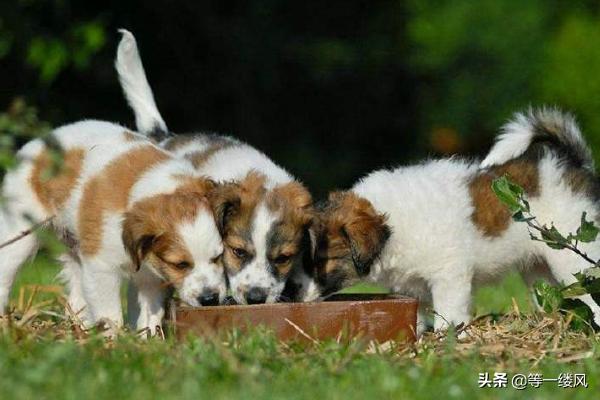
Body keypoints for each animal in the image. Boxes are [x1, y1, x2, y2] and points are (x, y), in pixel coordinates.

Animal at [0, 120, 225, 332]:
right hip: (19, 236)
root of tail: (38, 142)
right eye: (180, 265)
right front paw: (114, 340)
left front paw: (147, 338)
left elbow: (149, 312)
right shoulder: (102, 267)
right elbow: (110, 313)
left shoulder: (151, 278)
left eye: (217, 258)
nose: (209, 299)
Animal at [310, 108, 600, 332]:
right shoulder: (410, 287)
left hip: (571, 255)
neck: (393, 225)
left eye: (326, 259)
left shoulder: (448, 275)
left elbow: (448, 312)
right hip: (540, 267)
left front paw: (447, 337)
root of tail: (573, 164)